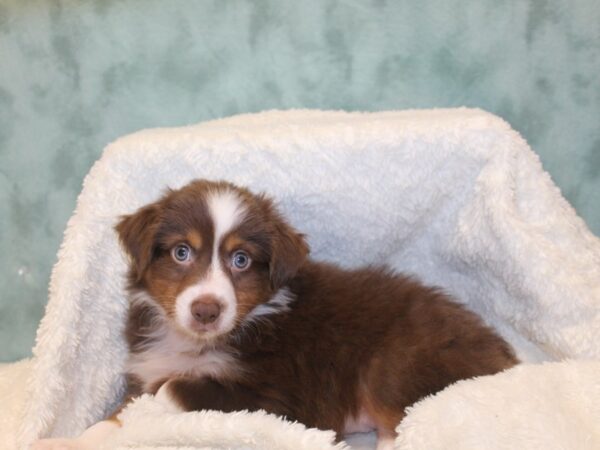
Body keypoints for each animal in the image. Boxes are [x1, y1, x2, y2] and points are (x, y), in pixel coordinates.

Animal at [32, 179, 516, 450]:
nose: (206, 310)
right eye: (181, 252)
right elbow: (116, 416)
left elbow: (170, 390)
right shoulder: (146, 369)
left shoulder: (276, 396)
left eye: (241, 260)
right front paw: (64, 442)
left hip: (395, 362)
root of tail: (506, 356)